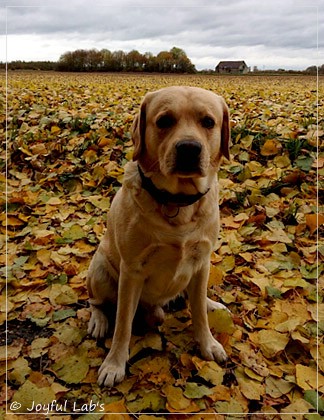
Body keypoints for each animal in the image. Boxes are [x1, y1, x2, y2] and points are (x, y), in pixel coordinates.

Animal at [86, 86, 230, 388]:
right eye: (164, 121)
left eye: (208, 122)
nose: (189, 148)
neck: (177, 202)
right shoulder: (132, 271)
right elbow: (123, 325)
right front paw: (114, 364)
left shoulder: (202, 260)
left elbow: (198, 314)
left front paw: (208, 344)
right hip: (101, 269)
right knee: (97, 303)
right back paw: (99, 321)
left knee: (195, 299)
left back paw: (211, 304)